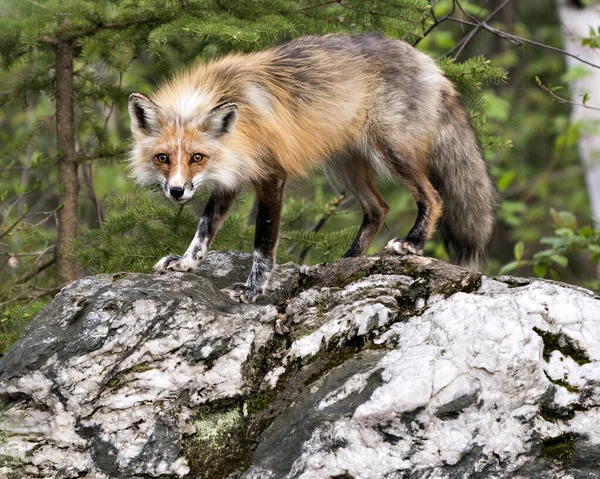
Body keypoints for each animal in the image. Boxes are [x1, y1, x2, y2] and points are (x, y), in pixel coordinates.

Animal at [127, 32, 496, 304]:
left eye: (196, 157)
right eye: (163, 158)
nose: (176, 191)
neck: (241, 122)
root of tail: (428, 61)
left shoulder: (272, 175)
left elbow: (263, 244)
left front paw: (253, 289)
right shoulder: (230, 175)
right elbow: (204, 230)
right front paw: (185, 263)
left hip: (391, 151)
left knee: (432, 197)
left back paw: (413, 243)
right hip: (344, 166)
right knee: (379, 209)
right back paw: (349, 261)